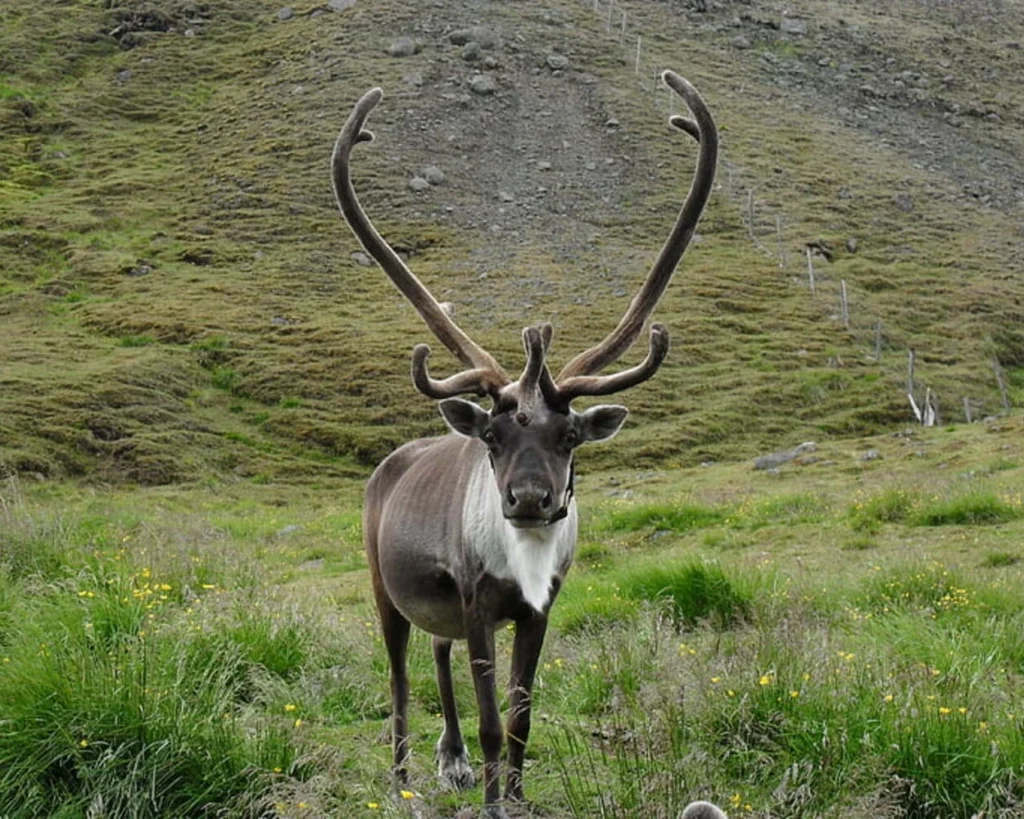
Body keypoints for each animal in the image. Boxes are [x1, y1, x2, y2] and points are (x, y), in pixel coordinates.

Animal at [331, 70, 717, 818]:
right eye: (492, 434)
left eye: (569, 435)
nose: (532, 499)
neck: (525, 564)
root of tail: (389, 464)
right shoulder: (479, 601)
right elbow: (489, 719)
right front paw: (491, 801)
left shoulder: (540, 608)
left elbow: (520, 718)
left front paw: (513, 793)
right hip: (384, 586)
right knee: (398, 679)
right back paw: (401, 778)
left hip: (440, 608)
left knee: (438, 654)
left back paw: (447, 758)